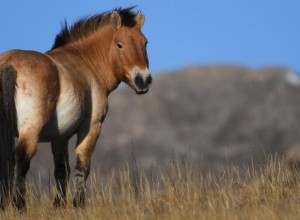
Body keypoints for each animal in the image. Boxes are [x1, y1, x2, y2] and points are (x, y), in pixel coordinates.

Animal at [0, 6, 150, 211]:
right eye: (120, 45)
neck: (86, 63)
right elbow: (82, 166)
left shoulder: (60, 137)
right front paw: (78, 203)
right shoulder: (91, 127)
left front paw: (59, 205)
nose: (143, 80)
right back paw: (19, 204)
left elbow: (62, 170)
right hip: (31, 130)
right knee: (22, 158)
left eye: (145, 43)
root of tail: (9, 63)